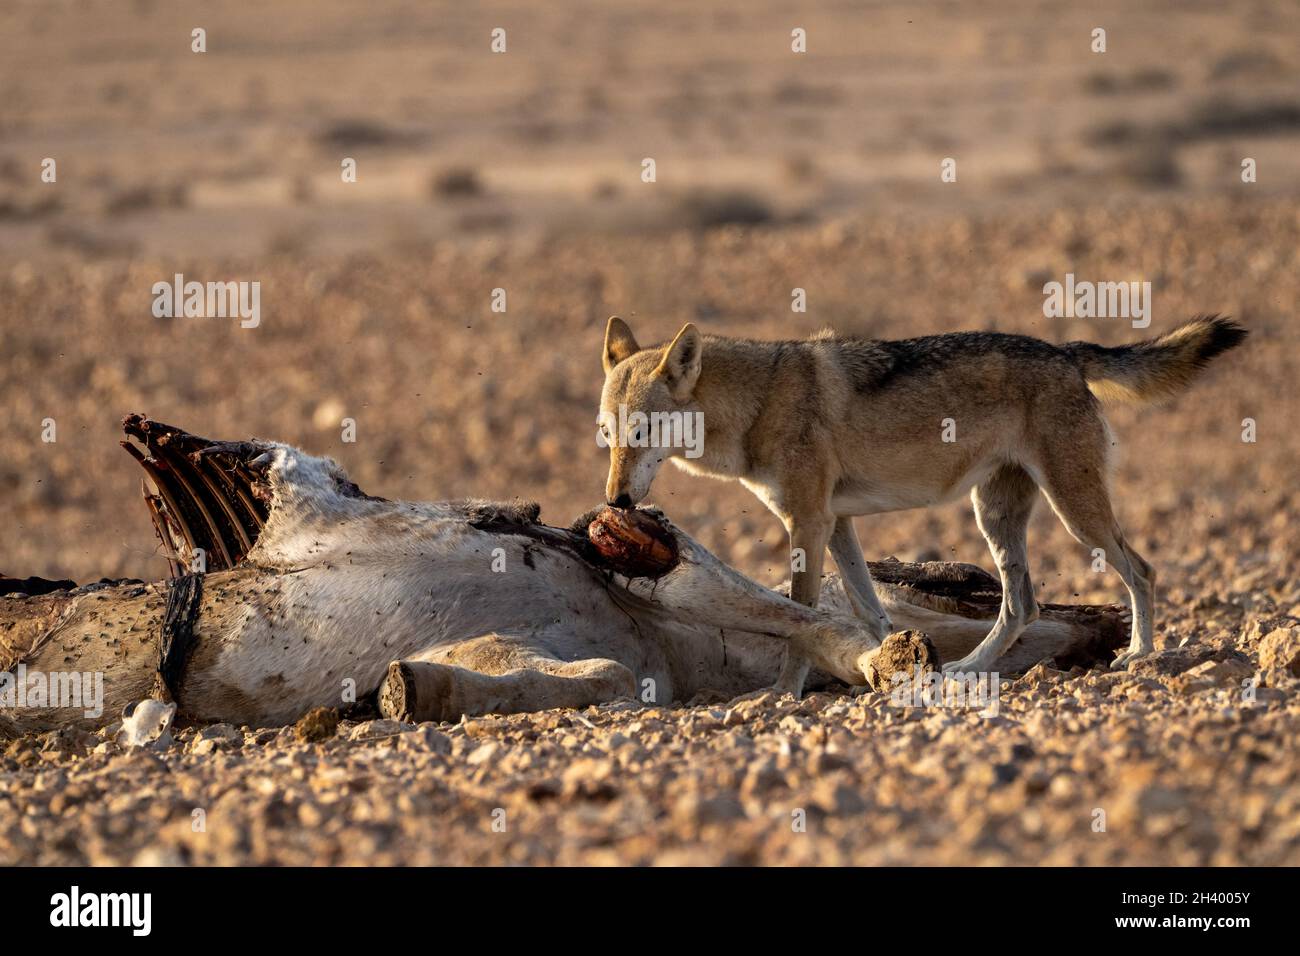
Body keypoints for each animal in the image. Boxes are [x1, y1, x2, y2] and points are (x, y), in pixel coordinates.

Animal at [598, 314, 1248, 697]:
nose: (616, 500)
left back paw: (1138, 654)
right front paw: (889, 665)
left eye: (643, 431)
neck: (755, 404)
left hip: (1075, 513)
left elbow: (798, 627)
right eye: (607, 434)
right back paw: (968, 670)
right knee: (1024, 605)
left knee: (1142, 570)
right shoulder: (837, 524)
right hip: (999, 516)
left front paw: (783, 695)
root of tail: (1064, 351)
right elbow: (869, 615)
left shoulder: (807, 524)